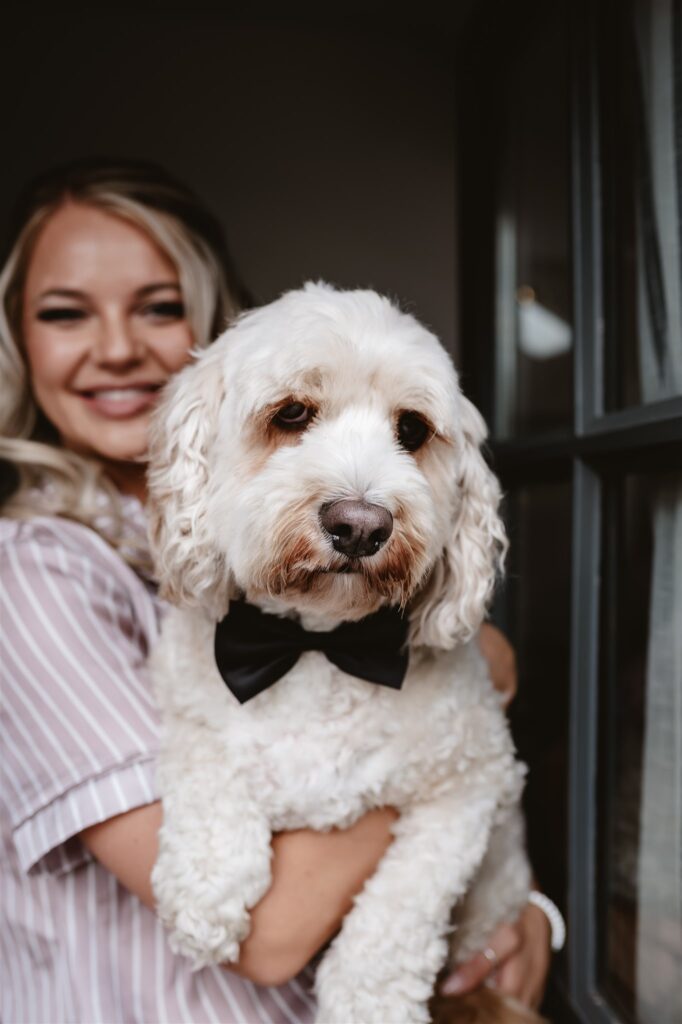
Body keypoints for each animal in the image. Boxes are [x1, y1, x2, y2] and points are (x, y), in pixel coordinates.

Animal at [148, 282, 536, 1024]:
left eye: (412, 430)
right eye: (292, 413)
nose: (360, 525)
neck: (318, 647)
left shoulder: (469, 788)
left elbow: (395, 915)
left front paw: (367, 1002)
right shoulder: (191, 707)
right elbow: (210, 767)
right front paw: (206, 890)